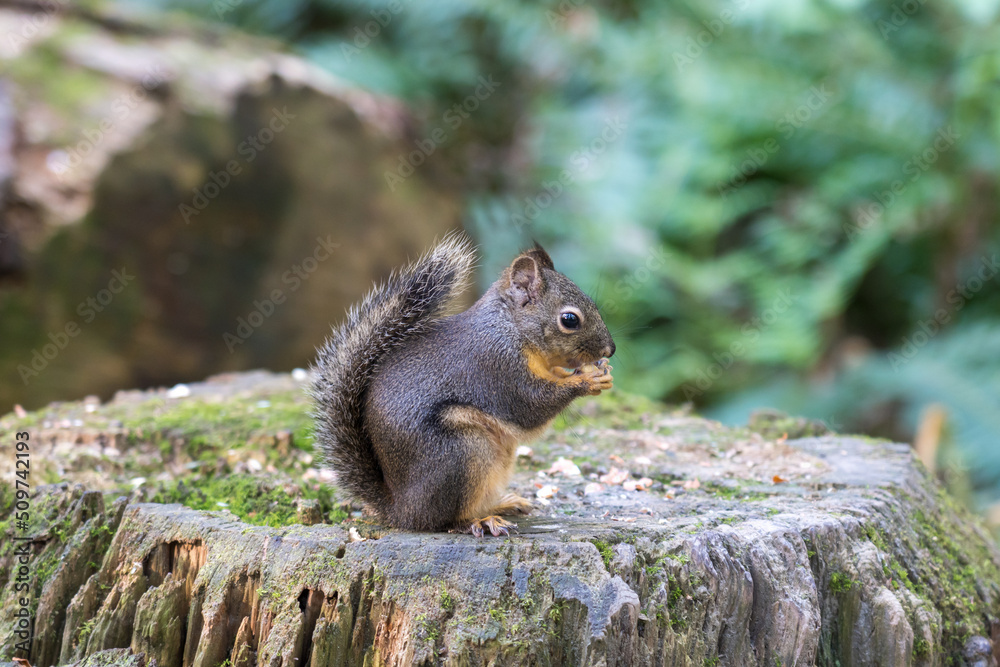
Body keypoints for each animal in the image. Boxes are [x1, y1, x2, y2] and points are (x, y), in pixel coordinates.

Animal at [312, 232, 615, 537]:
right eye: (569, 319)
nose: (610, 350)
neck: (512, 327)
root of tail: (401, 509)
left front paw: (600, 372)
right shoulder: (497, 366)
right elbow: (530, 405)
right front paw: (585, 379)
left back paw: (502, 504)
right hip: (462, 452)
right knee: (443, 521)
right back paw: (479, 521)